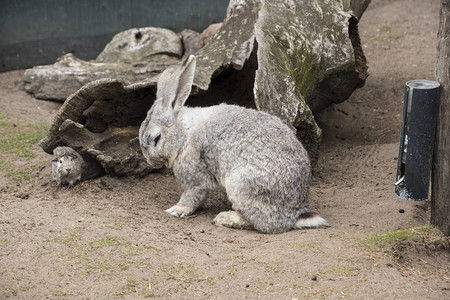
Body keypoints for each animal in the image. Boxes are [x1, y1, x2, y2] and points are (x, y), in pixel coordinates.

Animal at [139, 56, 328, 234]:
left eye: (156, 138)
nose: (150, 161)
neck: (184, 134)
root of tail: (296, 213)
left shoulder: (195, 177)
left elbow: (192, 196)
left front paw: (176, 210)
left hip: (241, 184)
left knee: (265, 224)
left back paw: (225, 218)